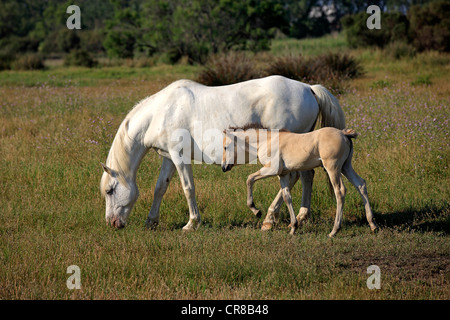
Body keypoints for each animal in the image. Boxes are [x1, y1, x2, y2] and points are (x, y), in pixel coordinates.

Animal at [99, 75, 344, 230]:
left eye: (110, 191)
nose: (112, 223)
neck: (162, 111)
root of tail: (308, 88)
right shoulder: (169, 157)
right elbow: (160, 188)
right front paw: (152, 221)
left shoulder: (179, 157)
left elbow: (188, 188)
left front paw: (192, 223)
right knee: (306, 177)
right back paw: (301, 215)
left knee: (292, 178)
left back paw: (269, 218)